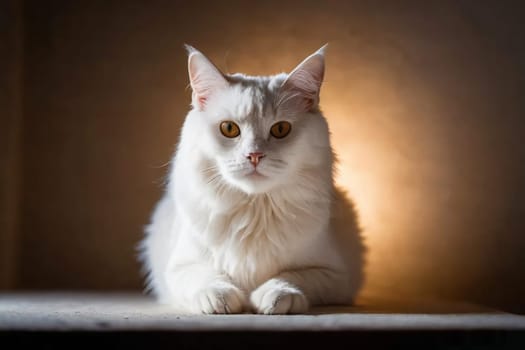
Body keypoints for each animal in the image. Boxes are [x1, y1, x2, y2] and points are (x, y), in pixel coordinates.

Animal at [141, 44, 366, 314]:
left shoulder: (333, 275)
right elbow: (205, 277)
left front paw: (275, 296)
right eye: (229, 129)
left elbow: (291, 277)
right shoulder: (178, 268)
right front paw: (219, 298)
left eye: (280, 129)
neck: (255, 210)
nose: (254, 155)